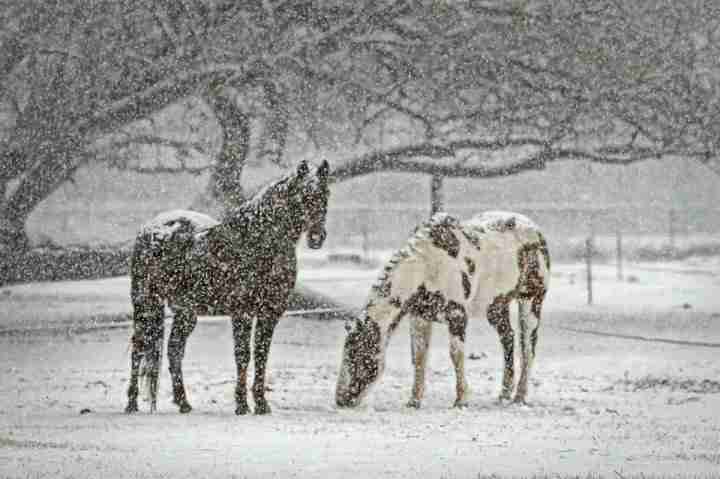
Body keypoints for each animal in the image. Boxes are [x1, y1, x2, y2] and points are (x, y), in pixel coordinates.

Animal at [126, 159, 332, 414]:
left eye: (325, 193)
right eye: (303, 195)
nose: (317, 237)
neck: (258, 242)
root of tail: (151, 228)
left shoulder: (269, 313)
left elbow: (261, 355)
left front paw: (261, 404)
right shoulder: (242, 312)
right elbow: (243, 355)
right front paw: (242, 404)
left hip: (185, 312)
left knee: (174, 350)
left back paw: (184, 403)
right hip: (145, 303)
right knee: (139, 347)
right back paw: (132, 403)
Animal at [334, 212, 548, 410]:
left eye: (357, 355)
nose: (341, 400)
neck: (427, 267)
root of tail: (535, 229)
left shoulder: (457, 316)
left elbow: (455, 355)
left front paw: (461, 400)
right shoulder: (420, 317)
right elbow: (419, 357)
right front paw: (414, 401)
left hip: (531, 301)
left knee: (528, 348)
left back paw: (519, 397)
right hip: (496, 307)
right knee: (508, 339)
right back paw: (504, 394)